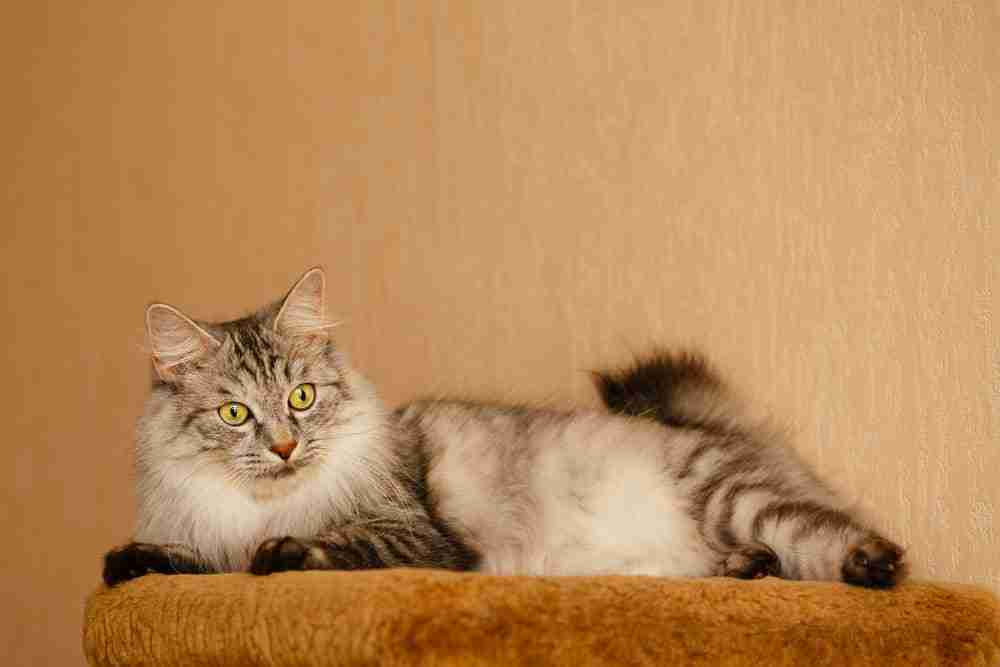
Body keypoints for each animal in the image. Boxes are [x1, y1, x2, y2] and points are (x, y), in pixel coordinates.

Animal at [101, 268, 908, 588]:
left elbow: (325, 547)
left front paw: (280, 554)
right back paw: (744, 570)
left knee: (831, 538)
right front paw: (129, 564)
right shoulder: (207, 532)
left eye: (301, 397)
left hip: (734, 497)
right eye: (236, 412)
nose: (285, 445)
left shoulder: (417, 537)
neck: (262, 506)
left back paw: (873, 565)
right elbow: (194, 559)